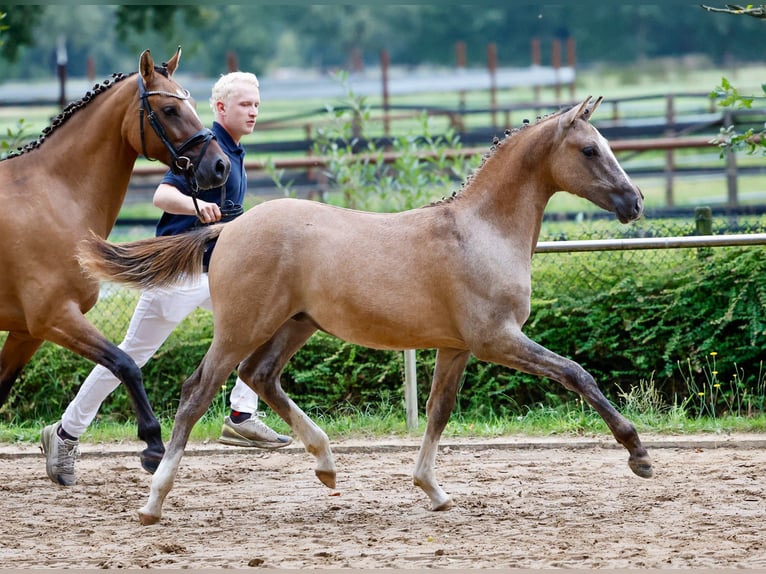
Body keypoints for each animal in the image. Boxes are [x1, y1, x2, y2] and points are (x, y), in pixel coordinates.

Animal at [0, 48, 231, 472]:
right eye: (170, 109)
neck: (51, 195)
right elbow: (125, 364)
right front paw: (153, 444)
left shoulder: (28, 331)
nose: (219, 166)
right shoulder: (55, 316)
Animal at [78, 95, 656, 528]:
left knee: (260, 376)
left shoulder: (457, 347)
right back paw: (154, 500)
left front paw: (432, 489)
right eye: (589, 149)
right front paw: (638, 453)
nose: (635, 201)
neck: (481, 232)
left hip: (295, 324)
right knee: (198, 389)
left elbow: (439, 411)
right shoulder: (497, 339)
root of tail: (227, 226)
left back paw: (327, 465)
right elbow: (576, 373)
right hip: (243, 326)